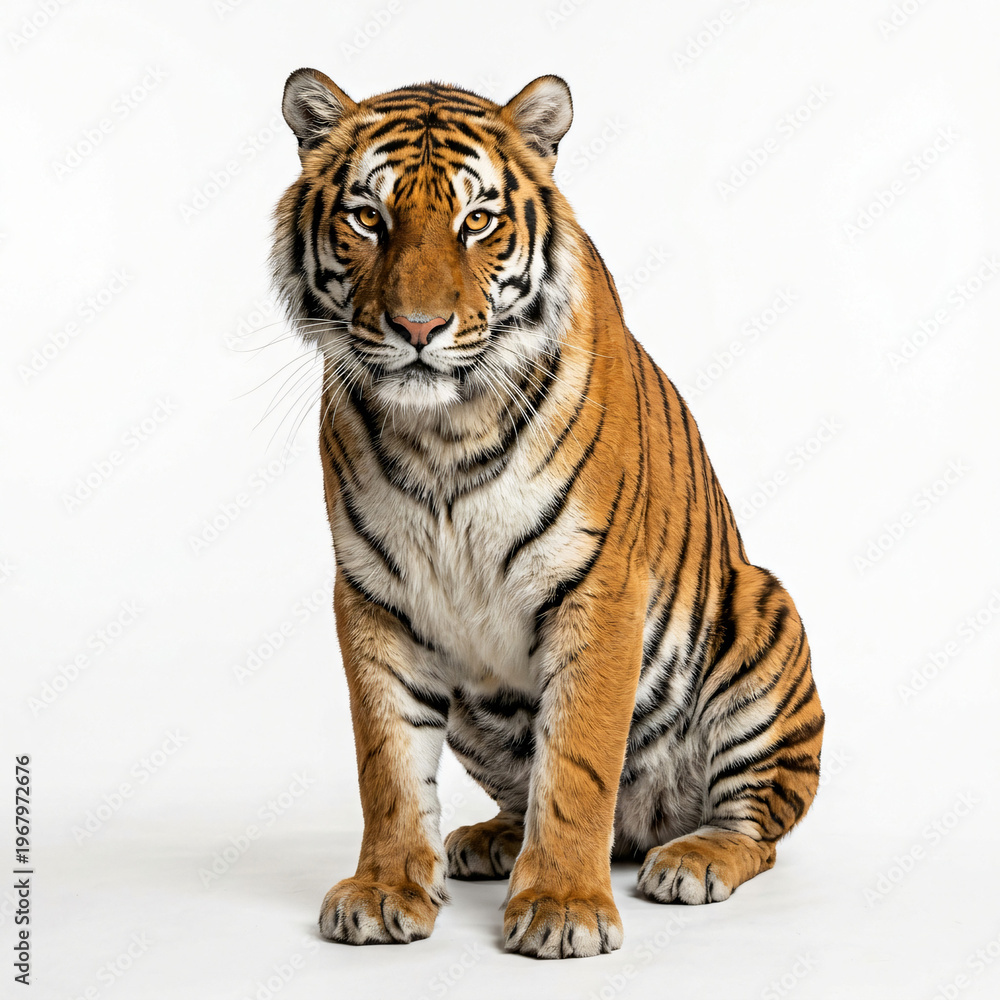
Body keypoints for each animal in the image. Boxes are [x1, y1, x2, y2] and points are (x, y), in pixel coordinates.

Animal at [270, 68, 824, 960]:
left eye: (477, 221)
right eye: (368, 218)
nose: (418, 328)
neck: (443, 432)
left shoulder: (598, 587)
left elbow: (577, 763)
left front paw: (564, 905)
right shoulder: (374, 595)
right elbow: (387, 762)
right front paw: (385, 889)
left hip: (762, 616)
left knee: (756, 828)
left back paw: (693, 859)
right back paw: (487, 839)